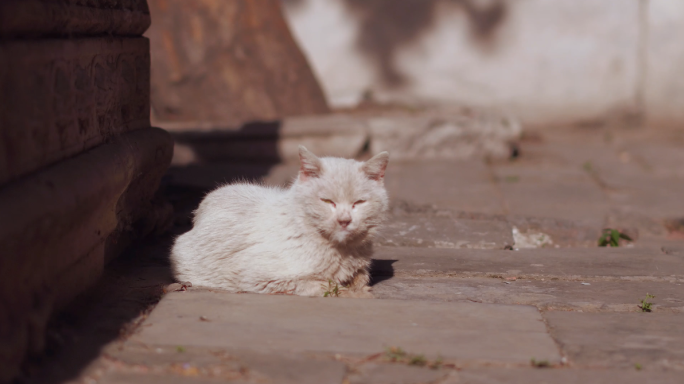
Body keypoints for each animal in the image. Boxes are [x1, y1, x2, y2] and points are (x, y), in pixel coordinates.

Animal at [170, 145, 390, 296]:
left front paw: (356, 286)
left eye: (359, 203)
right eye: (328, 201)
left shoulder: (360, 265)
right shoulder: (254, 277)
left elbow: (362, 276)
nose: (344, 220)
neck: (343, 251)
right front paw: (349, 291)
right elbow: (315, 283)